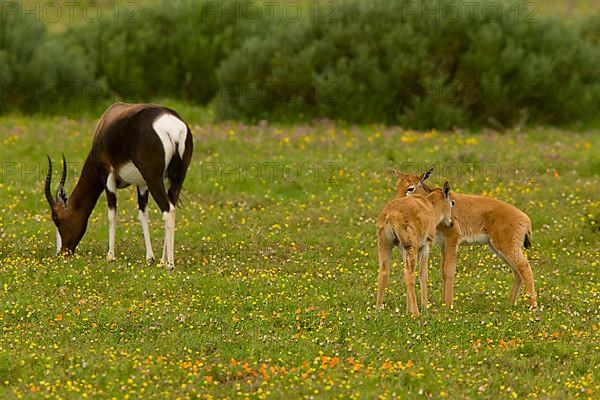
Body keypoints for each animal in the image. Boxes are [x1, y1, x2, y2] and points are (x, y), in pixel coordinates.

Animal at [45, 101, 193, 270]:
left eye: (56, 218)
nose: (62, 253)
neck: (105, 124)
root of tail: (172, 126)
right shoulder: (142, 184)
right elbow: (143, 215)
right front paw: (150, 258)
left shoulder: (108, 176)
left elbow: (111, 214)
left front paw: (110, 256)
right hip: (175, 180)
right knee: (171, 206)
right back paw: (163, 260)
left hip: (154, 180)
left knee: (168, 210)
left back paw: (170, 264)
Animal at [376, 181, 454, 316]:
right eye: (452, 202)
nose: (451, 223)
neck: (429, 207)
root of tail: (389, 215)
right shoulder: (425, 246)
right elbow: (423, 274)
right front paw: (424, 307)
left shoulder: (402, 250)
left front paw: (408, 310)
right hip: (411, 248)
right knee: (409, 275)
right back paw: (417, 314)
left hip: (385, 246)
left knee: (384, 272)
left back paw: (377, 311)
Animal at [394, 167, 540, 308]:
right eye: (397, 185)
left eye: (410, 188)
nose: (398, 202)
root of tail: (525, 219)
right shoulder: (443, 244)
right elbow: (442, 271)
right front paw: (444, 303)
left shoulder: (452, 240)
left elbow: (448, 270)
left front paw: (448, 305)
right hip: (497, 248)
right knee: (517, 272)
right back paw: (510, 304)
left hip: (506, 246)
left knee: (524, 267)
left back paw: (532, 307)